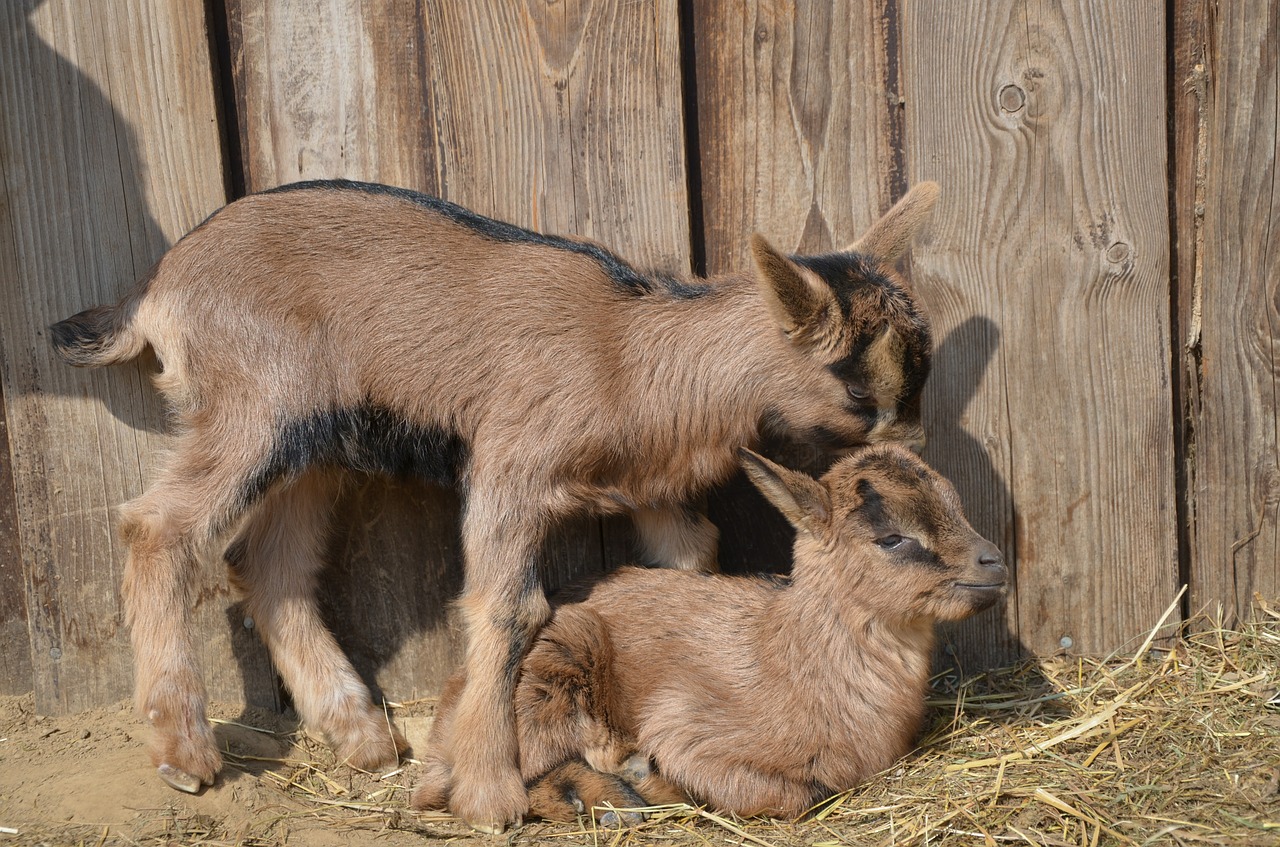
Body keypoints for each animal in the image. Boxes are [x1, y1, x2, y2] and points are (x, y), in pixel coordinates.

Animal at [49, 180, 942, 834]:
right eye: (859, 392)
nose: (912, 462)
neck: (633, 353)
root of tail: (160, 284)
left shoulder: (655, 494)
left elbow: (685, 569)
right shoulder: (511, 464)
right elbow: (508, 607)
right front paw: (487, 793)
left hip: (316, 444)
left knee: (268, 565)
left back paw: (362, 734)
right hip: (253, 410)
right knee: (158, 526)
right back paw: (185, 751)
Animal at [414, 445, 1003, 823]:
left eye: (956, 504)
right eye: (891, 537)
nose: (993, 561)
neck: (791, 655)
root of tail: (442, 722)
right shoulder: (686, 725)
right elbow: (797, 795)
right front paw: (649, 777)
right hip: (553, 669)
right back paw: (610, 798)